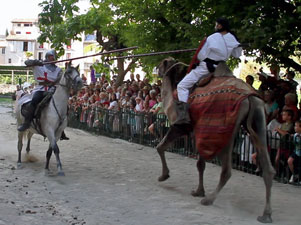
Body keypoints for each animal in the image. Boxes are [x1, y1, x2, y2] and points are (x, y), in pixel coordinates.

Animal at [156, 57, 276, 222]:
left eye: (162, 63)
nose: (157, 69)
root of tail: (250, 98)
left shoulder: (181, 126)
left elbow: (160, 146)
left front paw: (164, 175)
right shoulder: (200, 130)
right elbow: (200, 164)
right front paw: (198, 191)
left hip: (226, 128)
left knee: (227, 170)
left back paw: (209, 199)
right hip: (259, 120)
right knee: (268, 168)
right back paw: (266, 214)